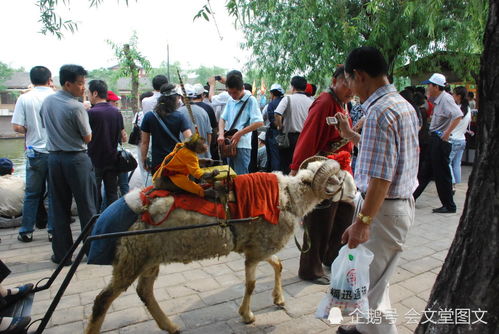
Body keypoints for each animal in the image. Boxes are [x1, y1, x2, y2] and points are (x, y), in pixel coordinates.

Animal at [85, 159, 356, 334]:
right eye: (339, 181)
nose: (357, 195)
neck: (287, 196)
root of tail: (131, 204)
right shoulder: (256, 252)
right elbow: (250, 284)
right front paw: (247, 316)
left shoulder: (258, 246)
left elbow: (278, 265)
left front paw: (278, 299)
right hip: (133, 257)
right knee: (102, 300)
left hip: (149, 257)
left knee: (145, 291)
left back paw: (170, 326)